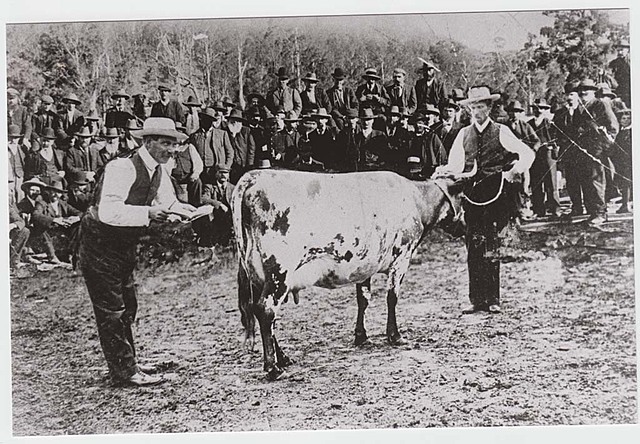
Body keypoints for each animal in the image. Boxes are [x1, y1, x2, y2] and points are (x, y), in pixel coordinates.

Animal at [231, 167, 474, 380]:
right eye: (462, 197)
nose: (464, 226)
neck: (415, 199)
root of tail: (253, 176)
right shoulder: (402, 258)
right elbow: (392, 298)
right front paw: (395, 335)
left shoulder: (365, 265)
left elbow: (363, 299)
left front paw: (361, 336)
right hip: (279, 271)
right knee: (266, 310)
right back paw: (273, 368)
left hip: (258, 274)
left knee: (262, 313)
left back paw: (282, 358)